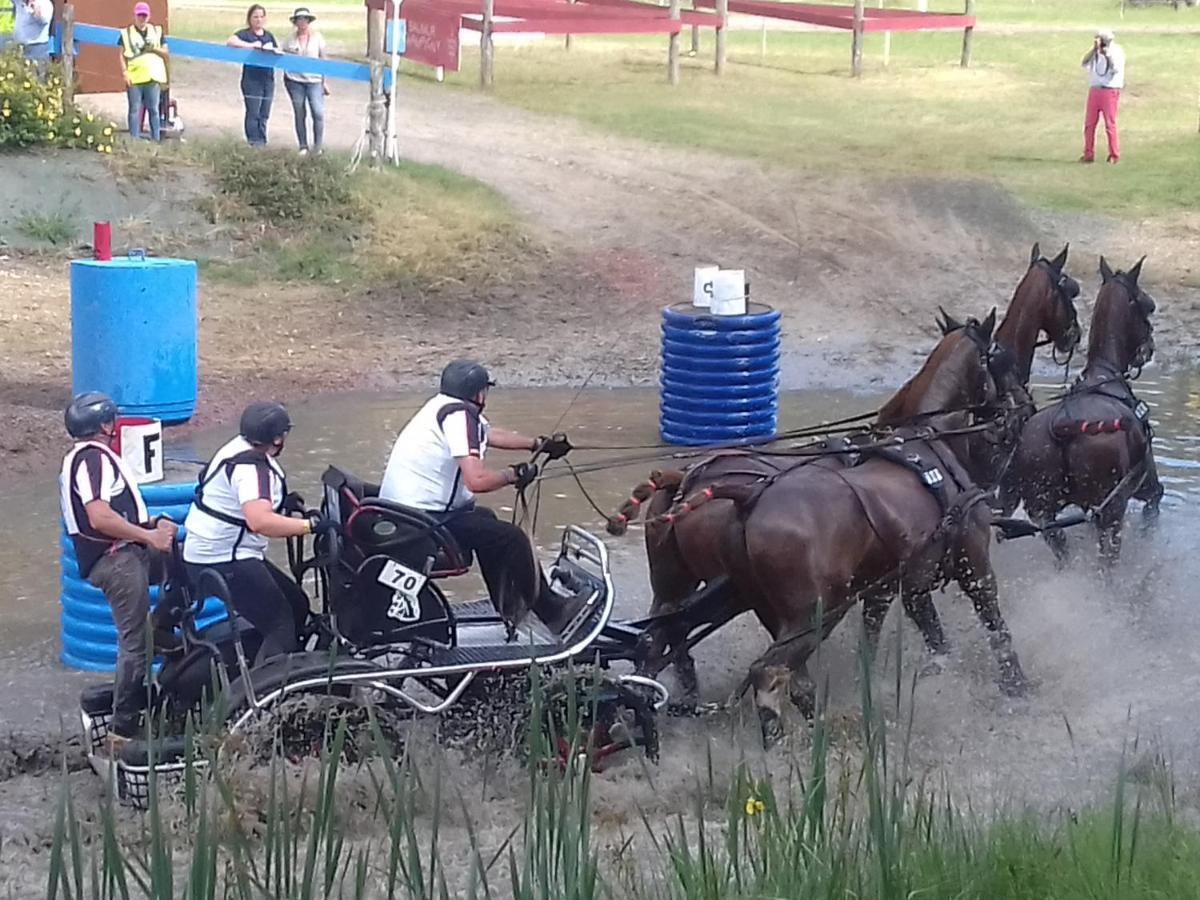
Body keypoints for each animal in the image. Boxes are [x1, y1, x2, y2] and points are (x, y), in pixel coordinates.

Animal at [1012, 256, 1161, 566]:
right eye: (1148, 304)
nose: (1150, 348)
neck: (1104, 374)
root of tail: (1063, 426)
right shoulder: (1148, 489)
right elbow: (1153, 510)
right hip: (1111, 512)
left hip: (1045, 513)